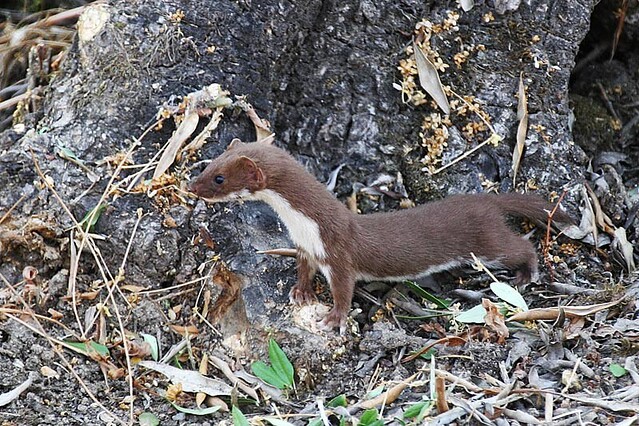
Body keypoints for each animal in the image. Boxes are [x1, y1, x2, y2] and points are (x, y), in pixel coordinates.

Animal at [188, 138, 572, 332]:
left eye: (219, 178)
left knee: (520, 245)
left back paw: (524, 275)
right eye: (209, 163)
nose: (192, 186)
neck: (304, 227)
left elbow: (344, 291)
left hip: (487, 242)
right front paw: (301, 291)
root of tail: (485, 200)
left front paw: (333, 318)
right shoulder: (306, 248)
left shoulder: (338, 255)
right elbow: (303, 269)